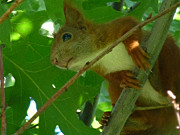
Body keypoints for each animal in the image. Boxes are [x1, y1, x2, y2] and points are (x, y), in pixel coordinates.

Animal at [50, 1, 180, 135]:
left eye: (66, 36)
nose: (53, 60)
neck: (96, 53)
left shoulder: (114, 27)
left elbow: (130, 26)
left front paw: (133, 48)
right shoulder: (97, 67)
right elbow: (111, 76)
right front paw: (123, 77)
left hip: (171, 55)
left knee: (167, 85)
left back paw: (157, 79)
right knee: (146, 121)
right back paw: (115, 119)